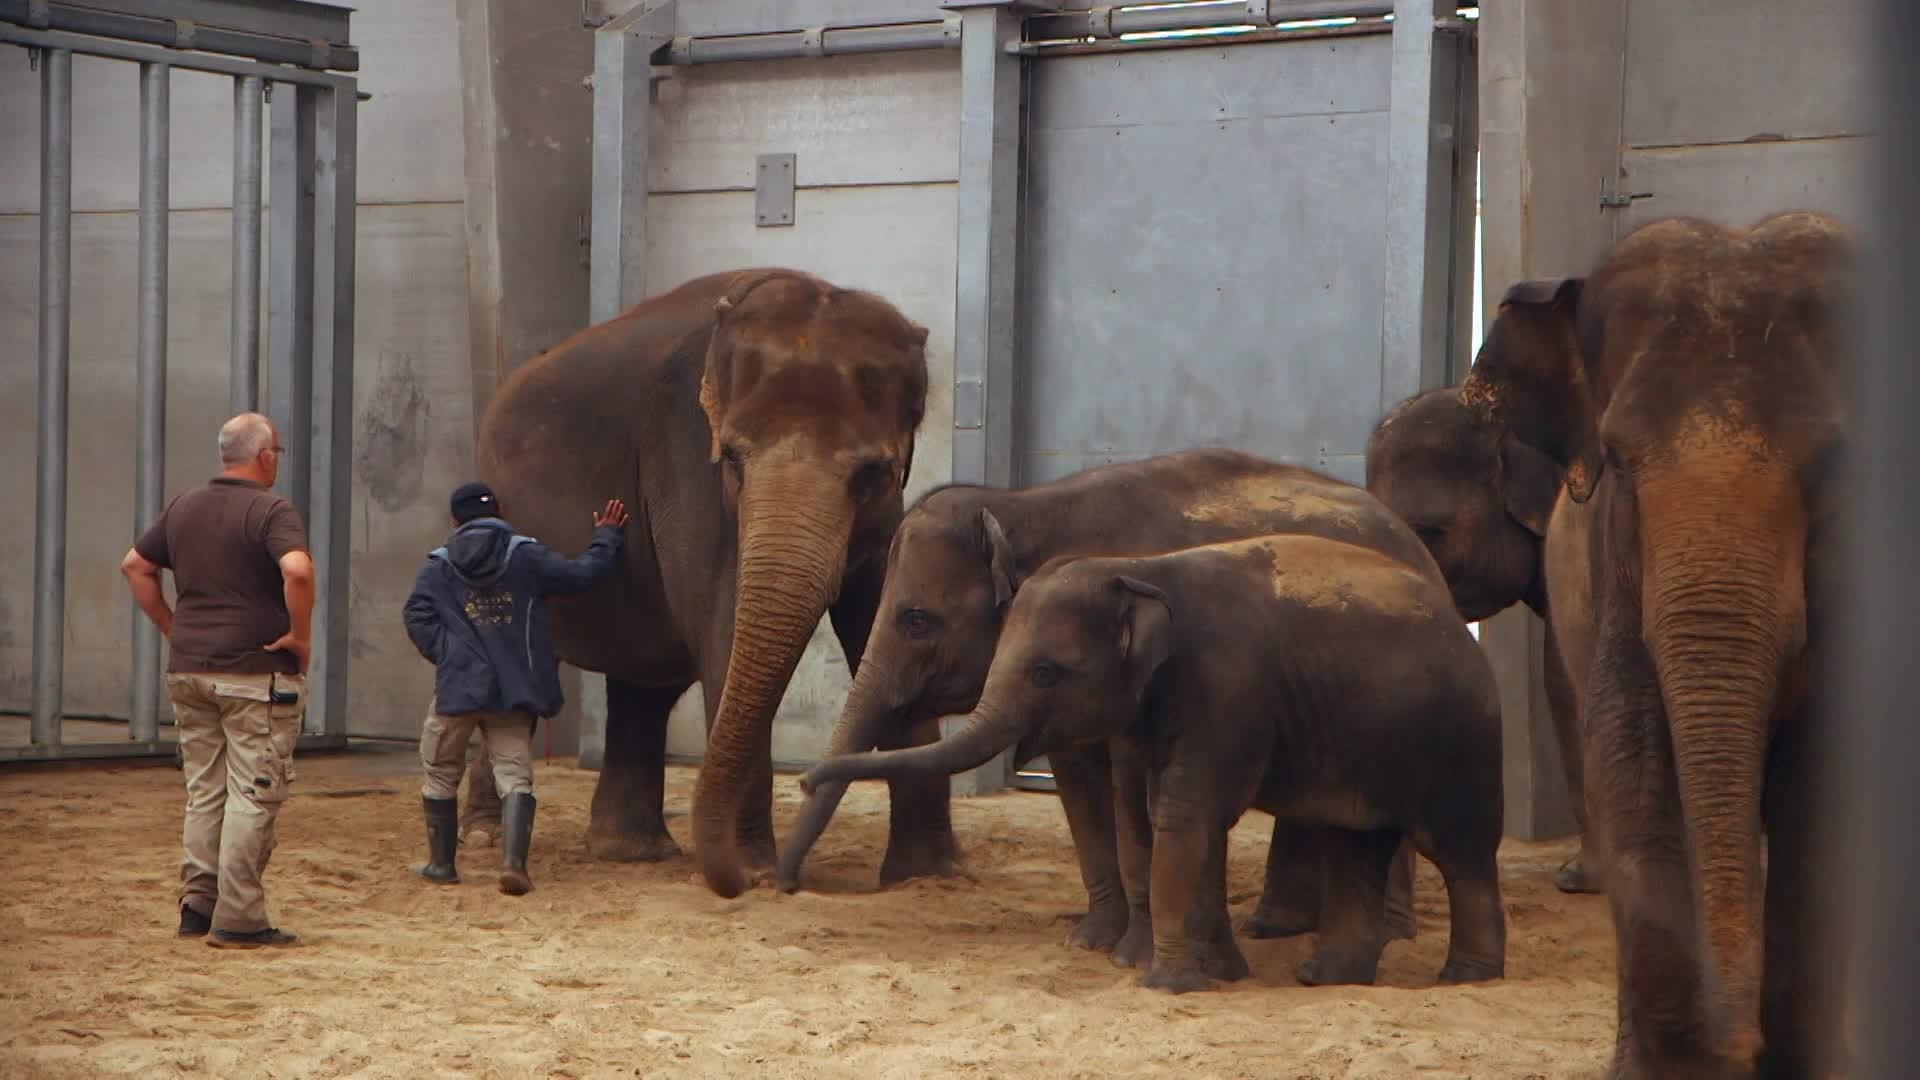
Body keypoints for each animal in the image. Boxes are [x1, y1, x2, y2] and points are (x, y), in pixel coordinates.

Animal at [468, 265, 940, 895]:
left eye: (873, 472)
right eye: (733, 458)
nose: (749, 880)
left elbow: (883, 619)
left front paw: (929, 877)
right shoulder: (687, 463)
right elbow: (722, 630)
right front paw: (757, 871)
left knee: (641, 682)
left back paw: (631, 851)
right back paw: (483, 836)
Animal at [802, 530, 1505, 991]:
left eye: (1045, 672)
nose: (806, 777)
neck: (1142, 569)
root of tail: (1464, 628)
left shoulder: (1225, 691)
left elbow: (1185, 817)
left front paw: (1166, 984)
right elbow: (1166, 818)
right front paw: (1217, 975)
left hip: (1459, 743)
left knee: (1460, 851)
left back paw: (1464, 979)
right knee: (1357, 845)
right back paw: (1326, 978)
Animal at [1459, 205, 1850, 1068]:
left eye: (1835, 467)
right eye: (1619, 461)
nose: (1741, 1047)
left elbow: (1823, 778)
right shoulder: (1614, 577)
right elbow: (1633, 752)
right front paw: (1668, 1068)